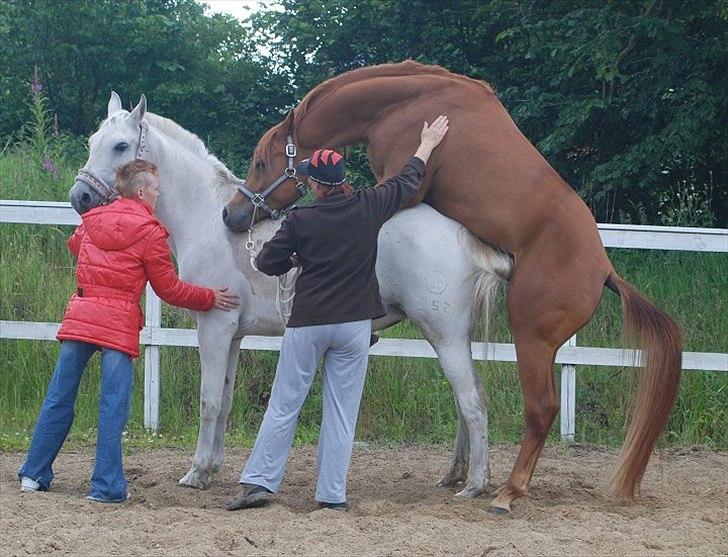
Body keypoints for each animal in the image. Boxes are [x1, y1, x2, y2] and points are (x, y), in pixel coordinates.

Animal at [68, 93, 512, 498]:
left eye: (120, 145)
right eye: (92, 140)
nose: (79, 197)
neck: (209, 221)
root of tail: (463, 234)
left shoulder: (214, 327)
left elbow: (208, 400)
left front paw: (195, 473)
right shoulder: (233, 335)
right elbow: (224, 401)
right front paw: (212, 467)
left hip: (444, 335)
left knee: (472, 402)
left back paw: (475, 485)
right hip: (452, 338)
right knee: (467, 401)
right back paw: (453, 476)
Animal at [222, 60, 684, 512]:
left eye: (260, 163)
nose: (232, 214)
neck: (407, 102)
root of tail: (603, 270)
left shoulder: (398, 185)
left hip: (531, 339)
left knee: (537, 409)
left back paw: (505, 492)